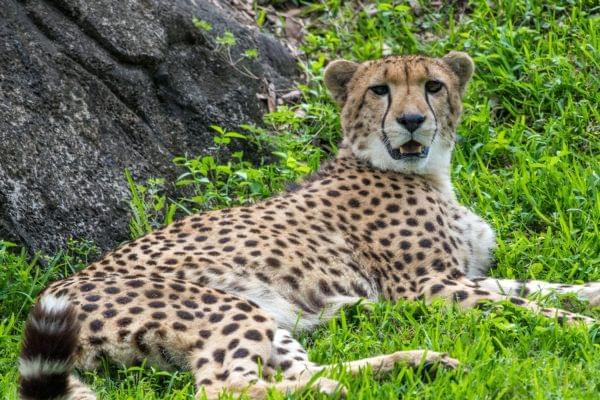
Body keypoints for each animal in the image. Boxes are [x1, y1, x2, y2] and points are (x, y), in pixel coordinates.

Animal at [18, 50, 600, 400]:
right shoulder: (427, 286)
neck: (427, 170)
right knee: (226, 389)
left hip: (268, 316)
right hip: (223, 306)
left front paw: (589, 294)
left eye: (433, 86)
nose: (412, 120)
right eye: (380, 91)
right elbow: (524, 307)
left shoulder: (462, 275)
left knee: (298, 372)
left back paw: (413, 364)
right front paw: (583, 328)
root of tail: (48, 292)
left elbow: (535, 286)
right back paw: (361, 380)